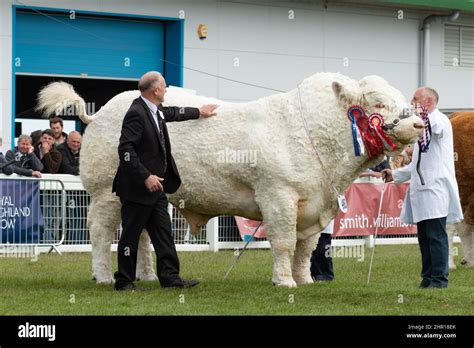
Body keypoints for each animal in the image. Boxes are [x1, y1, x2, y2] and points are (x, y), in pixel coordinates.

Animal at [36, 72, 422, 286]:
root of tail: (101, 111)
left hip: (147, 193)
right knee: (102, 233)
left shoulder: (315, 205)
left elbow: (305, 249)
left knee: (142, 235)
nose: (418, 122)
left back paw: (146, 276)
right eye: (378, 103)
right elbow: (284, 243)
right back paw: (103, 276)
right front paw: (284, 282)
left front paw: (305, 279)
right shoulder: (278, 196)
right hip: (106, 193)